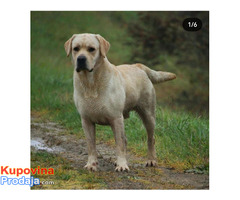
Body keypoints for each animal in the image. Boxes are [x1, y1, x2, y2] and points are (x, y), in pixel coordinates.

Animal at [64, 33, 176, 171]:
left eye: (91, 49)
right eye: (76, 49)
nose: (81, 59)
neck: (91, 83)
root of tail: (138, 66)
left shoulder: (116, 118)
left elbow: (119, 144)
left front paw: (122, 165)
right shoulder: (86, 120)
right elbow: (91, 145)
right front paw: (91, 164)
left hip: (148, 114)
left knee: (150, 138)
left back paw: (151, 160)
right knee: (126, 139)